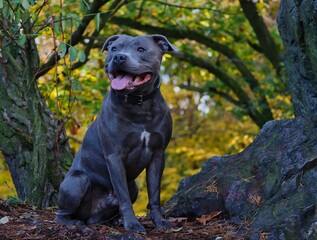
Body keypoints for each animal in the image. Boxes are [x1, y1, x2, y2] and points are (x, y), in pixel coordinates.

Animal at [55, 33, 177, 232]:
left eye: (141, 49)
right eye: (114, 48)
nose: (119, 57)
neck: (139, 105)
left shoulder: (158, 155)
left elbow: (154, 194)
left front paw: (159, 221)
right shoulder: (114, 156)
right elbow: (123, 196)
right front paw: (133, 224)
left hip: (133, 186)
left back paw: (114, 221)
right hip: (78, 181)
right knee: (62, 213)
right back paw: (75, 223)